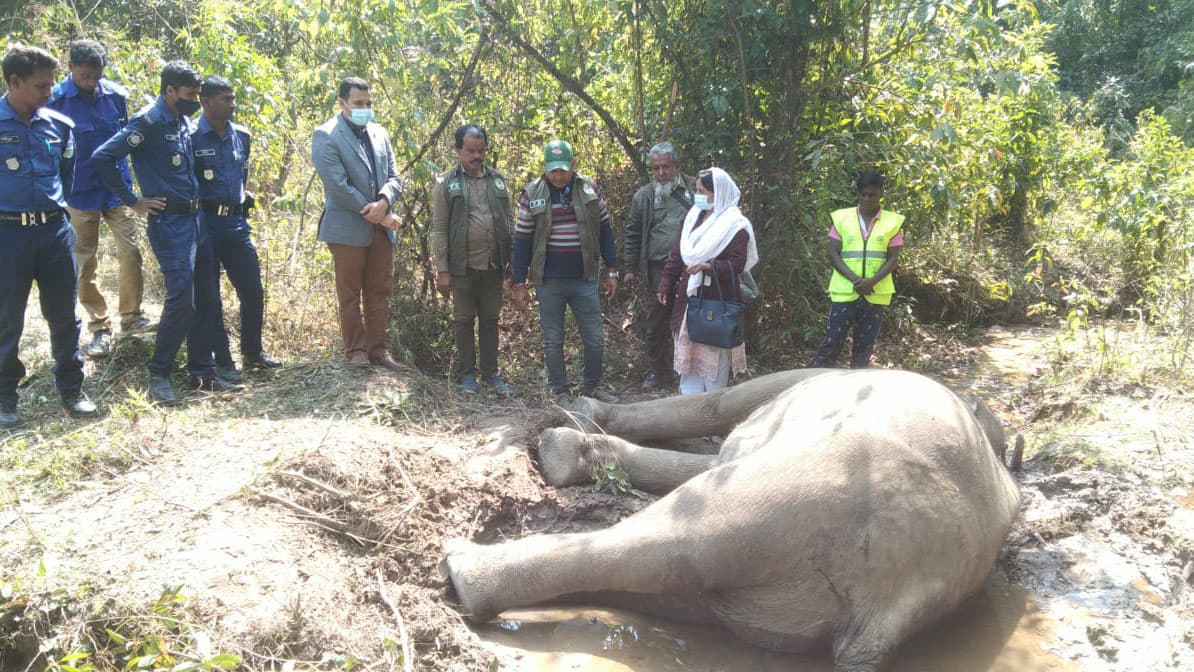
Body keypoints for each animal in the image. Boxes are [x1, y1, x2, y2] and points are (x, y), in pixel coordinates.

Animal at [444, 367, 1022, 672]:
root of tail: (890, 610)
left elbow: (724, 403)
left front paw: (582, 414)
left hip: (808, 493)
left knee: (675, 537)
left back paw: (464, 564)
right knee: (673, 574)